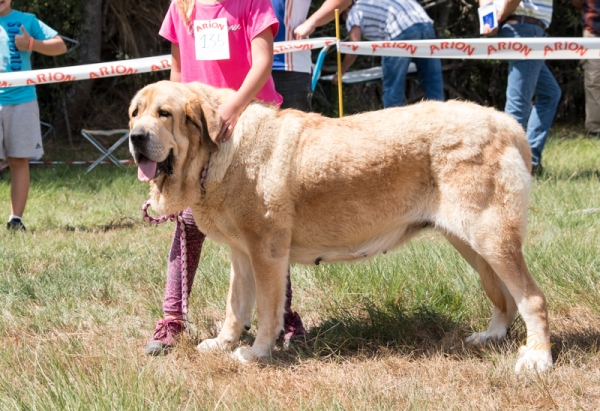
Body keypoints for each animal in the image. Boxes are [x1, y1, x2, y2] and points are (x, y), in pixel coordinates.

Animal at [130, 80, 552, 374]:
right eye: (135, 113)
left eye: (164, 113)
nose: (135, 137)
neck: (218, 154)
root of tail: (507, 123)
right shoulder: (242, 254)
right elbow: (236, 306)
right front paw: (223, 342)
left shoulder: (267, 254)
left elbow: (267, 310)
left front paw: (257, 352)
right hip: (471, 243)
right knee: (504, 296)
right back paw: (492, 336)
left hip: (490, 237)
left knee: (531, 298)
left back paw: (538, 359)